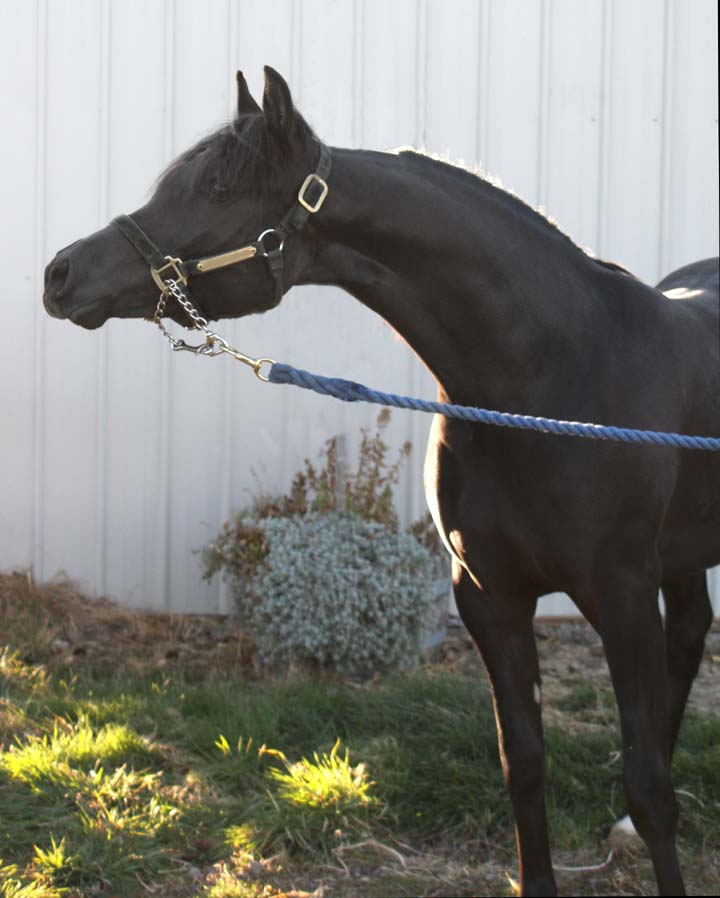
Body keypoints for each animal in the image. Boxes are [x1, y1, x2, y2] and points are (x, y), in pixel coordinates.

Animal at [43, 68, 719, 896]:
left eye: (217, 187)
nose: (61, 274)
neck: (554, 377)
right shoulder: (490, 596)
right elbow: (523, 766)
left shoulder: (621, 596)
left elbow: (650, 787)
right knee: (692, 632)